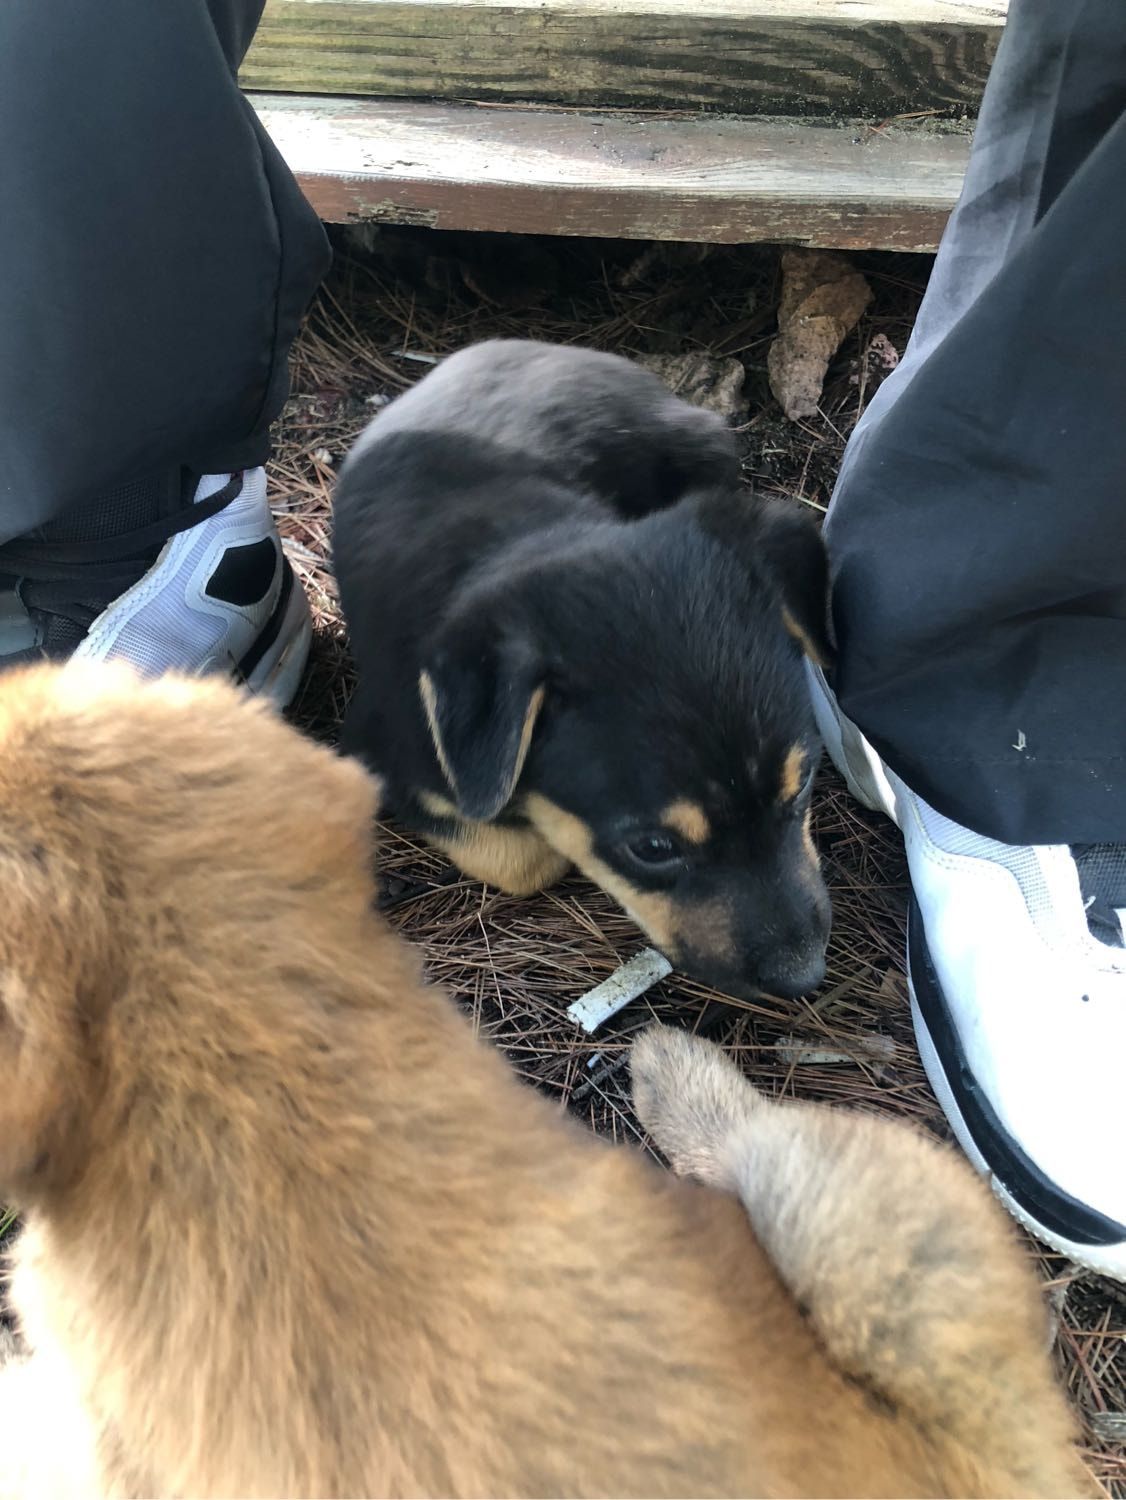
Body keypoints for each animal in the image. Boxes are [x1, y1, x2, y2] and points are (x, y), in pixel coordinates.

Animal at [333, 338, 832, 999]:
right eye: (652, 848)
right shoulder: (388, 758)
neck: (533, 534)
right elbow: (522, 857)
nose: (804, 976)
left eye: (803, 784)